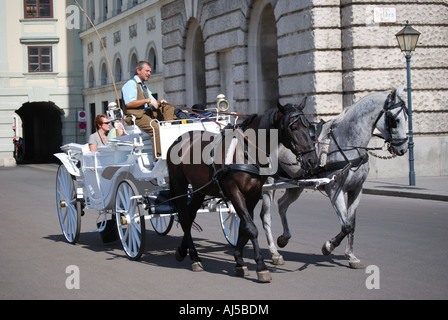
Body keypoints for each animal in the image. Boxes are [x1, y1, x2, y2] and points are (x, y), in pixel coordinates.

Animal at [166, 100, 316, 282]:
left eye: (308, 125)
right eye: (293, 127)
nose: (312, 160)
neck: (247, 152)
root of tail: (178, 140)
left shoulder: (253, 194)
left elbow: (244, 227)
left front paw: (239, 261)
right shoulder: (235, 192)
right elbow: (251, 227)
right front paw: (261, 266)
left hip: (198, 190)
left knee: (189, 216)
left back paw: (183, 251)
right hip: (180, 185)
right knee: (185, 218)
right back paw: (194, 257)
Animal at [260, 86, 410, 268]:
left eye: (407, 116)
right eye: (394, 120)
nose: (402, 148)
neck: (347, 143)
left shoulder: (356, 190)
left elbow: (352, 223)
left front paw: (351, 255)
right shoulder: (334, 190)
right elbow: (345, 225)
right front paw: (328, 246)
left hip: (295, 185)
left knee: (282, 205)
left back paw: (284, 238)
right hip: (269, 183)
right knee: (266, 216)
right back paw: (274, 252)